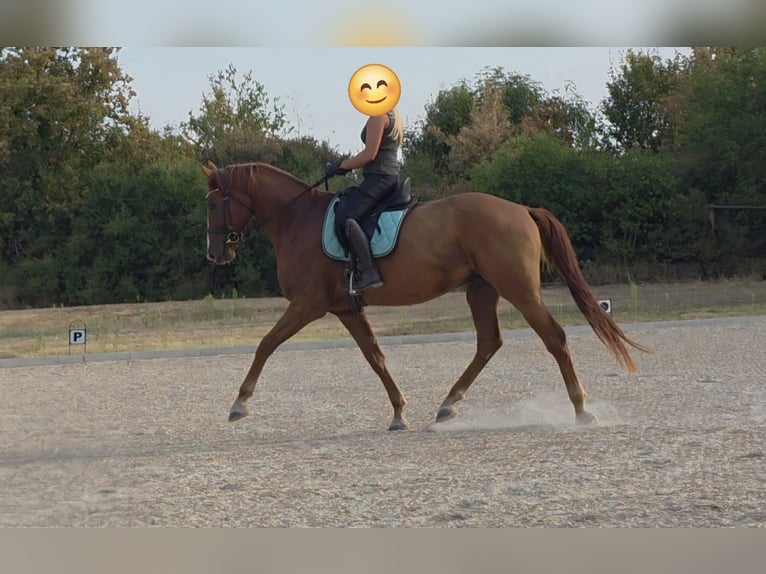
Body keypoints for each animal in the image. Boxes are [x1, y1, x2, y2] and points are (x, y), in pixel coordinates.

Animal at [203, 161, 648, 430]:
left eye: (211, 203)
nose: (215, 253)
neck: (298, 219)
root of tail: (521, 209)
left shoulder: (308, 305)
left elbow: (266, 343)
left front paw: (240, 404)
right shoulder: (346, 308)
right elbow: (376, 358)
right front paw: (399, 412)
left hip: (517, 289)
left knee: (553, 337)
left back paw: (581, 409)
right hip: (481, 290)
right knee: (489, 342)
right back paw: (449, 403)